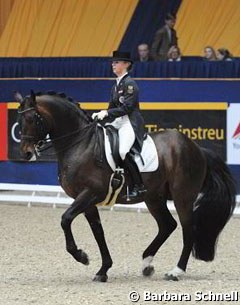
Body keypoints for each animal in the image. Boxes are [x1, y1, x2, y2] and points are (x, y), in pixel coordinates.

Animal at [15, 90, 236, 280]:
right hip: (154, 198)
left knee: (187, 229)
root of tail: (197, 148)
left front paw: (82, 256)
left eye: (32, 119)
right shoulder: (86, 200)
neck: (80, 143)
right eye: (19, 121)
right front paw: (103, 270)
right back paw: (147, 264)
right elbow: (98, 232)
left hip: (183, 196)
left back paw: (176, 271)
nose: (26, 153)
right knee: (167, 225)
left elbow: (65, 219)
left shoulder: (90, 194)